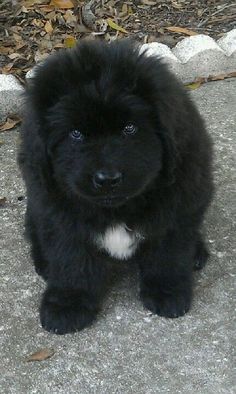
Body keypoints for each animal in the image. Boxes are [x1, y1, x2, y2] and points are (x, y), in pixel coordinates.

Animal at [18, 40, 214, 334]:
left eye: (130, 128)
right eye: (76, 134)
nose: (107, 179)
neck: (117, 209)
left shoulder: (177, 209)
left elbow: (168, 252)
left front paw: (167, 291)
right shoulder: (59, 216)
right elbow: (71, 260)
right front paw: (68, 304)